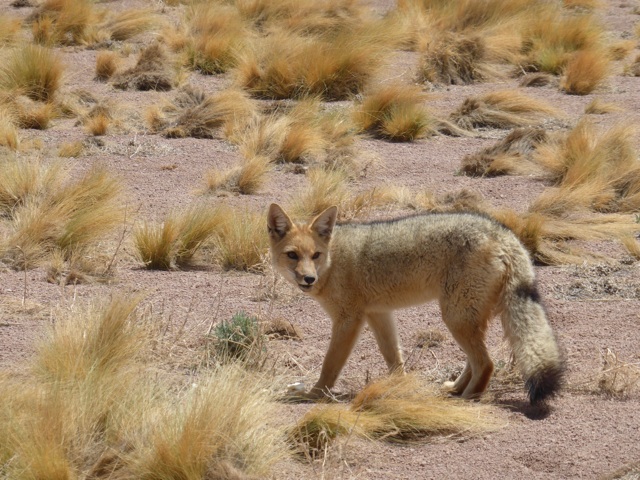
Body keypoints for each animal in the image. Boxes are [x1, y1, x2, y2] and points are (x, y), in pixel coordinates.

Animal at [267, 203, 564, 405]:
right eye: (293, 255)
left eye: (315, 255)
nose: (308, 278)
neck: (333, 261)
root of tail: (504, 233)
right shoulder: (378, 314)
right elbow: (393, 358)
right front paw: (401, 387)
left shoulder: (348, 321)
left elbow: (330, 365)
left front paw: (313, 394)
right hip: (464, 318)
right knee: (476, 360)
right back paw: (455, 388)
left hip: (455, 317)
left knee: (486, 363)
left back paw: (467, 398)